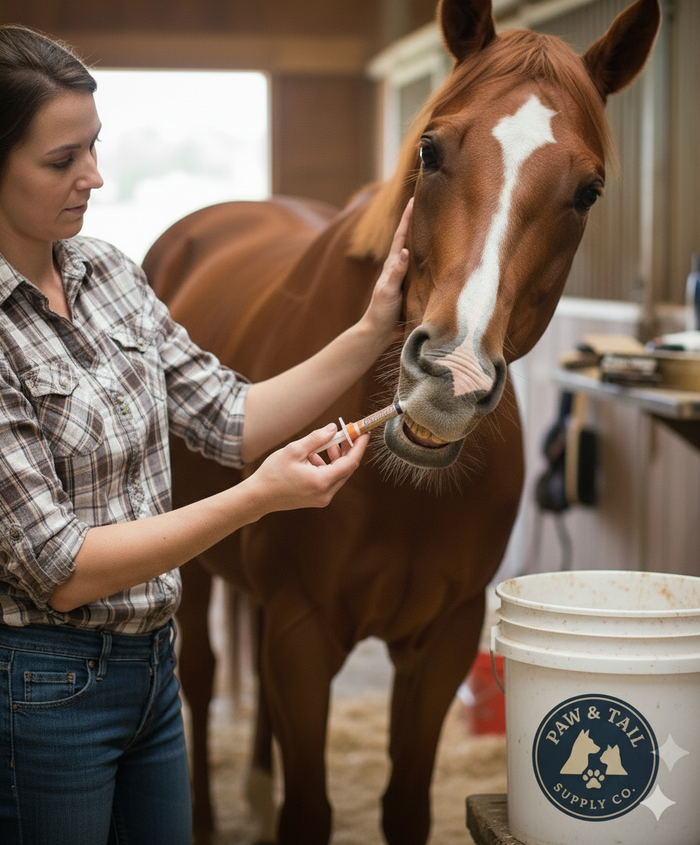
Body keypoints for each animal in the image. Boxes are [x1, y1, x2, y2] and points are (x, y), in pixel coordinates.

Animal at [142, 1, 660, 842]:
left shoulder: (442, 640)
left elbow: (405, 805)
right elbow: (308, 811)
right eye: (430, 149)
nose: (453, 375)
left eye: (588, 191)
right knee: (201, 675)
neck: (400, 491)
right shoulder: (302, 634)